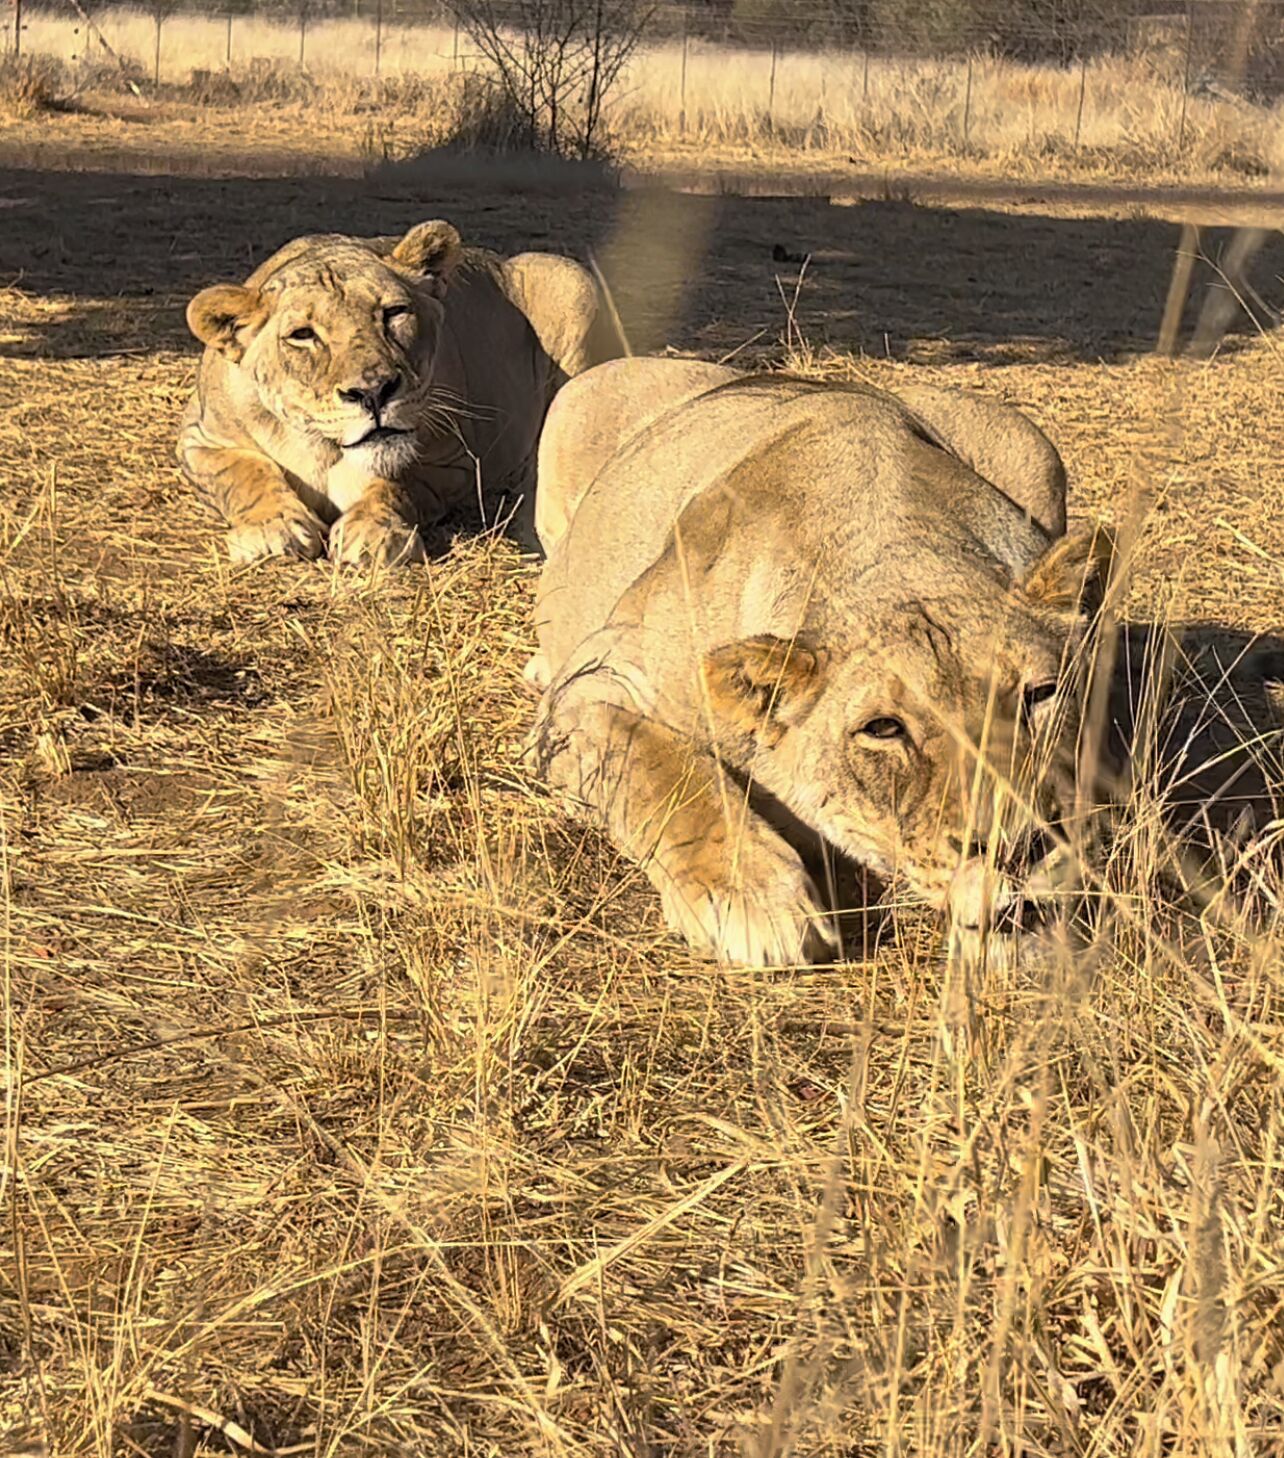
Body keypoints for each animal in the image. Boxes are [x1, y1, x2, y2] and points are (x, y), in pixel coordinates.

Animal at [178, 220, 620, 566]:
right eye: (302, 335)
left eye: (394, 313)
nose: (373, 392)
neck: (325, 449)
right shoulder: (199, 439)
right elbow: (243, 472)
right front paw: (275, 529)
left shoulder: (458, 461)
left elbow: (398, 481)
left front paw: (373, 533)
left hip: (570, 279)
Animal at [527, 359, 1109, 967]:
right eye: (884, 728)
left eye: (1041, 694)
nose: (1019, 849)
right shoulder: (598, 680)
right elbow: (665, 767)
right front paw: (753, 899)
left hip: (1030, 443)